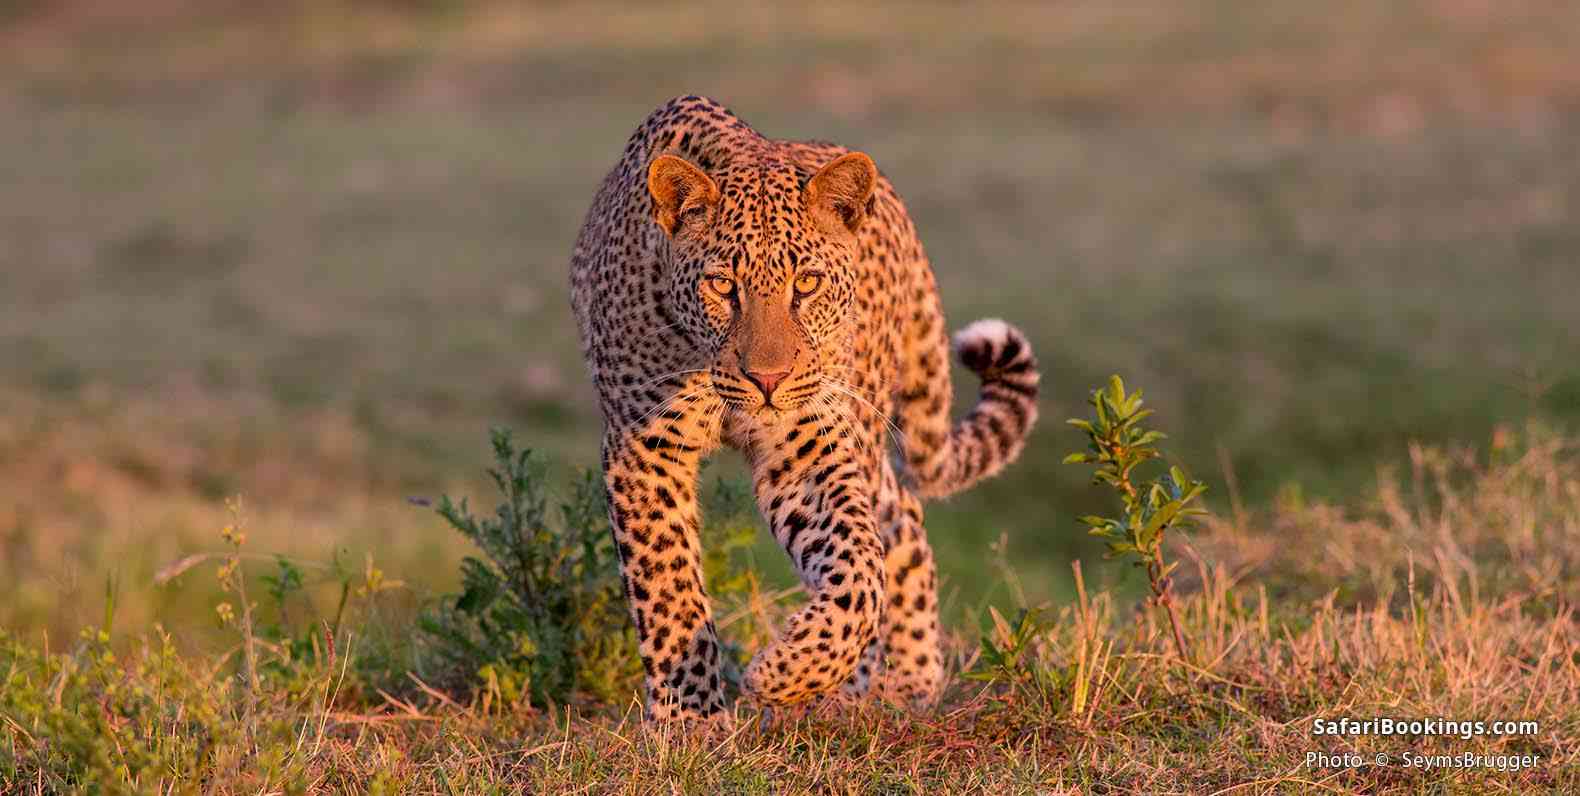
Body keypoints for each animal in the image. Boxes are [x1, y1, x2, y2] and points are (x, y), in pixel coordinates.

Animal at [569, 95, 1039, 721]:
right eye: (723, 286)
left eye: (808, 283)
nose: (768, 379)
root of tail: (896, 208)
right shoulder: (644, 444)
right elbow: (669, 587)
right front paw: (691, 718)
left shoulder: (807, 447)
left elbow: (859, 566)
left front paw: (788, 672)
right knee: (902, 520)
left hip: (862, 416)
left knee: (898, 525)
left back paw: (891, 686)